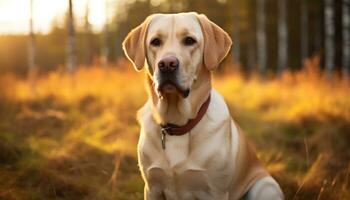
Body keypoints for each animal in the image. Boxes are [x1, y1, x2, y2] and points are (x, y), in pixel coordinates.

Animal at [121, 12, 284, 200]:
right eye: (155, 41)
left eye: (189, 40)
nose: (167, 64)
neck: (178, 125)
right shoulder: (152, 187)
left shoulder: (215, 192)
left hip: (265, 187)